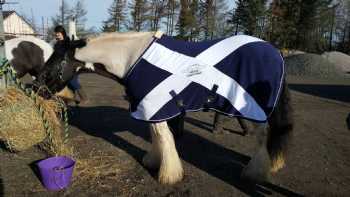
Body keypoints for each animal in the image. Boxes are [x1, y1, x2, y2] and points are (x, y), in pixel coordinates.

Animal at [35, 31, 294, 185]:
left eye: (58, 59)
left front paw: (168, 175)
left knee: (263, 137)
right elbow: (156, 137)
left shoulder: (155, 107)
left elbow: (164, 138)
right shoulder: (150, 110)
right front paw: (152, 161)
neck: (131, 59)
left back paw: (255, 172)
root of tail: (274, 51)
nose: (37, 87)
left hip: (256, 111)